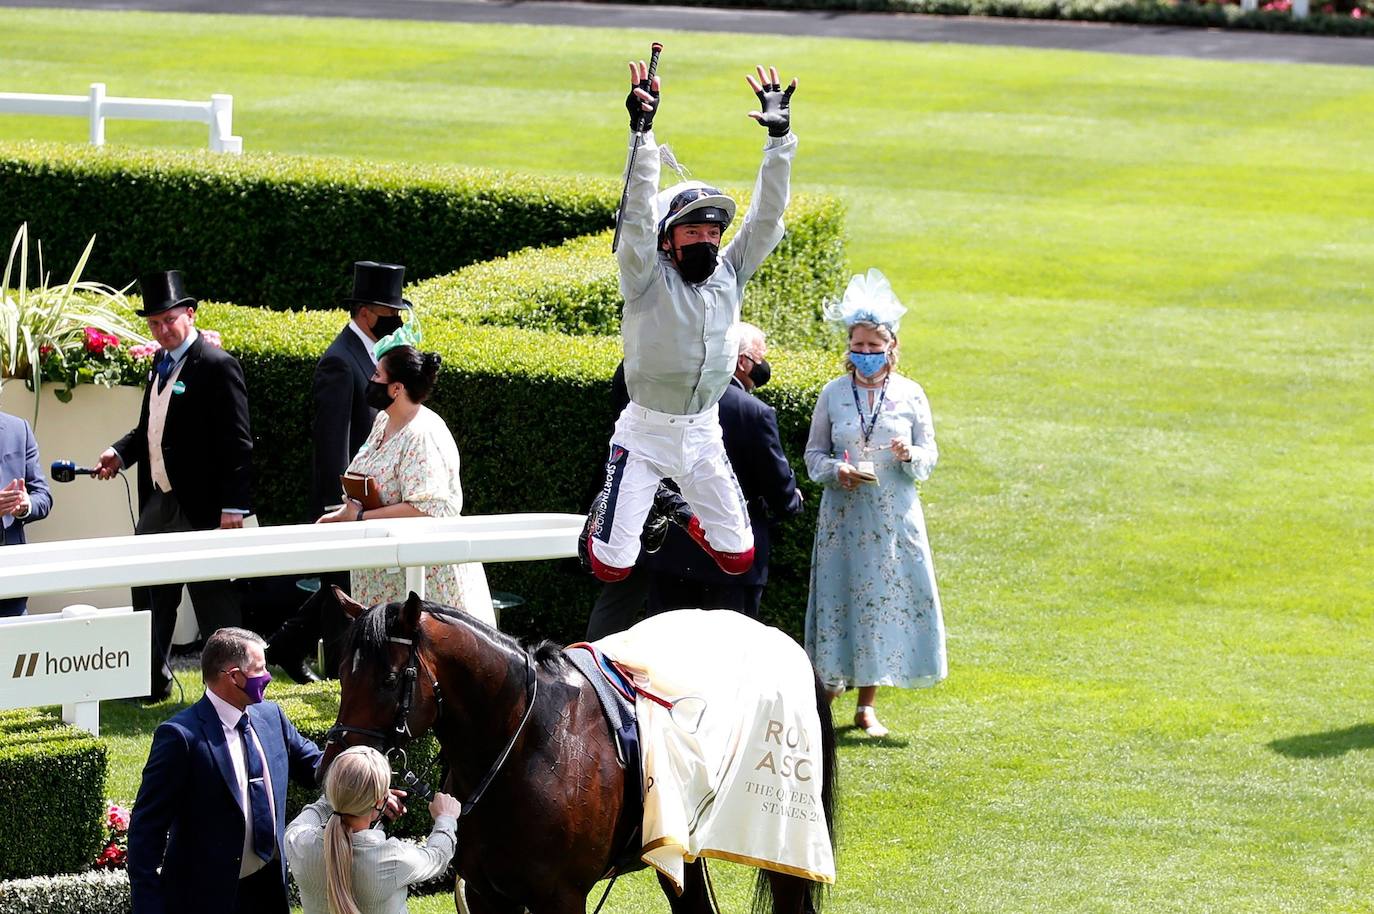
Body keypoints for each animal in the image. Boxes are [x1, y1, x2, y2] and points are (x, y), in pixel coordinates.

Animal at [321, 591, 835, 912]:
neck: (523, 746)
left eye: (389, 679)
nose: (334, 765)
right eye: (342, 674)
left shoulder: (560, 897)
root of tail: (781, 639)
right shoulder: (490, 895)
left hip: (783, 842)